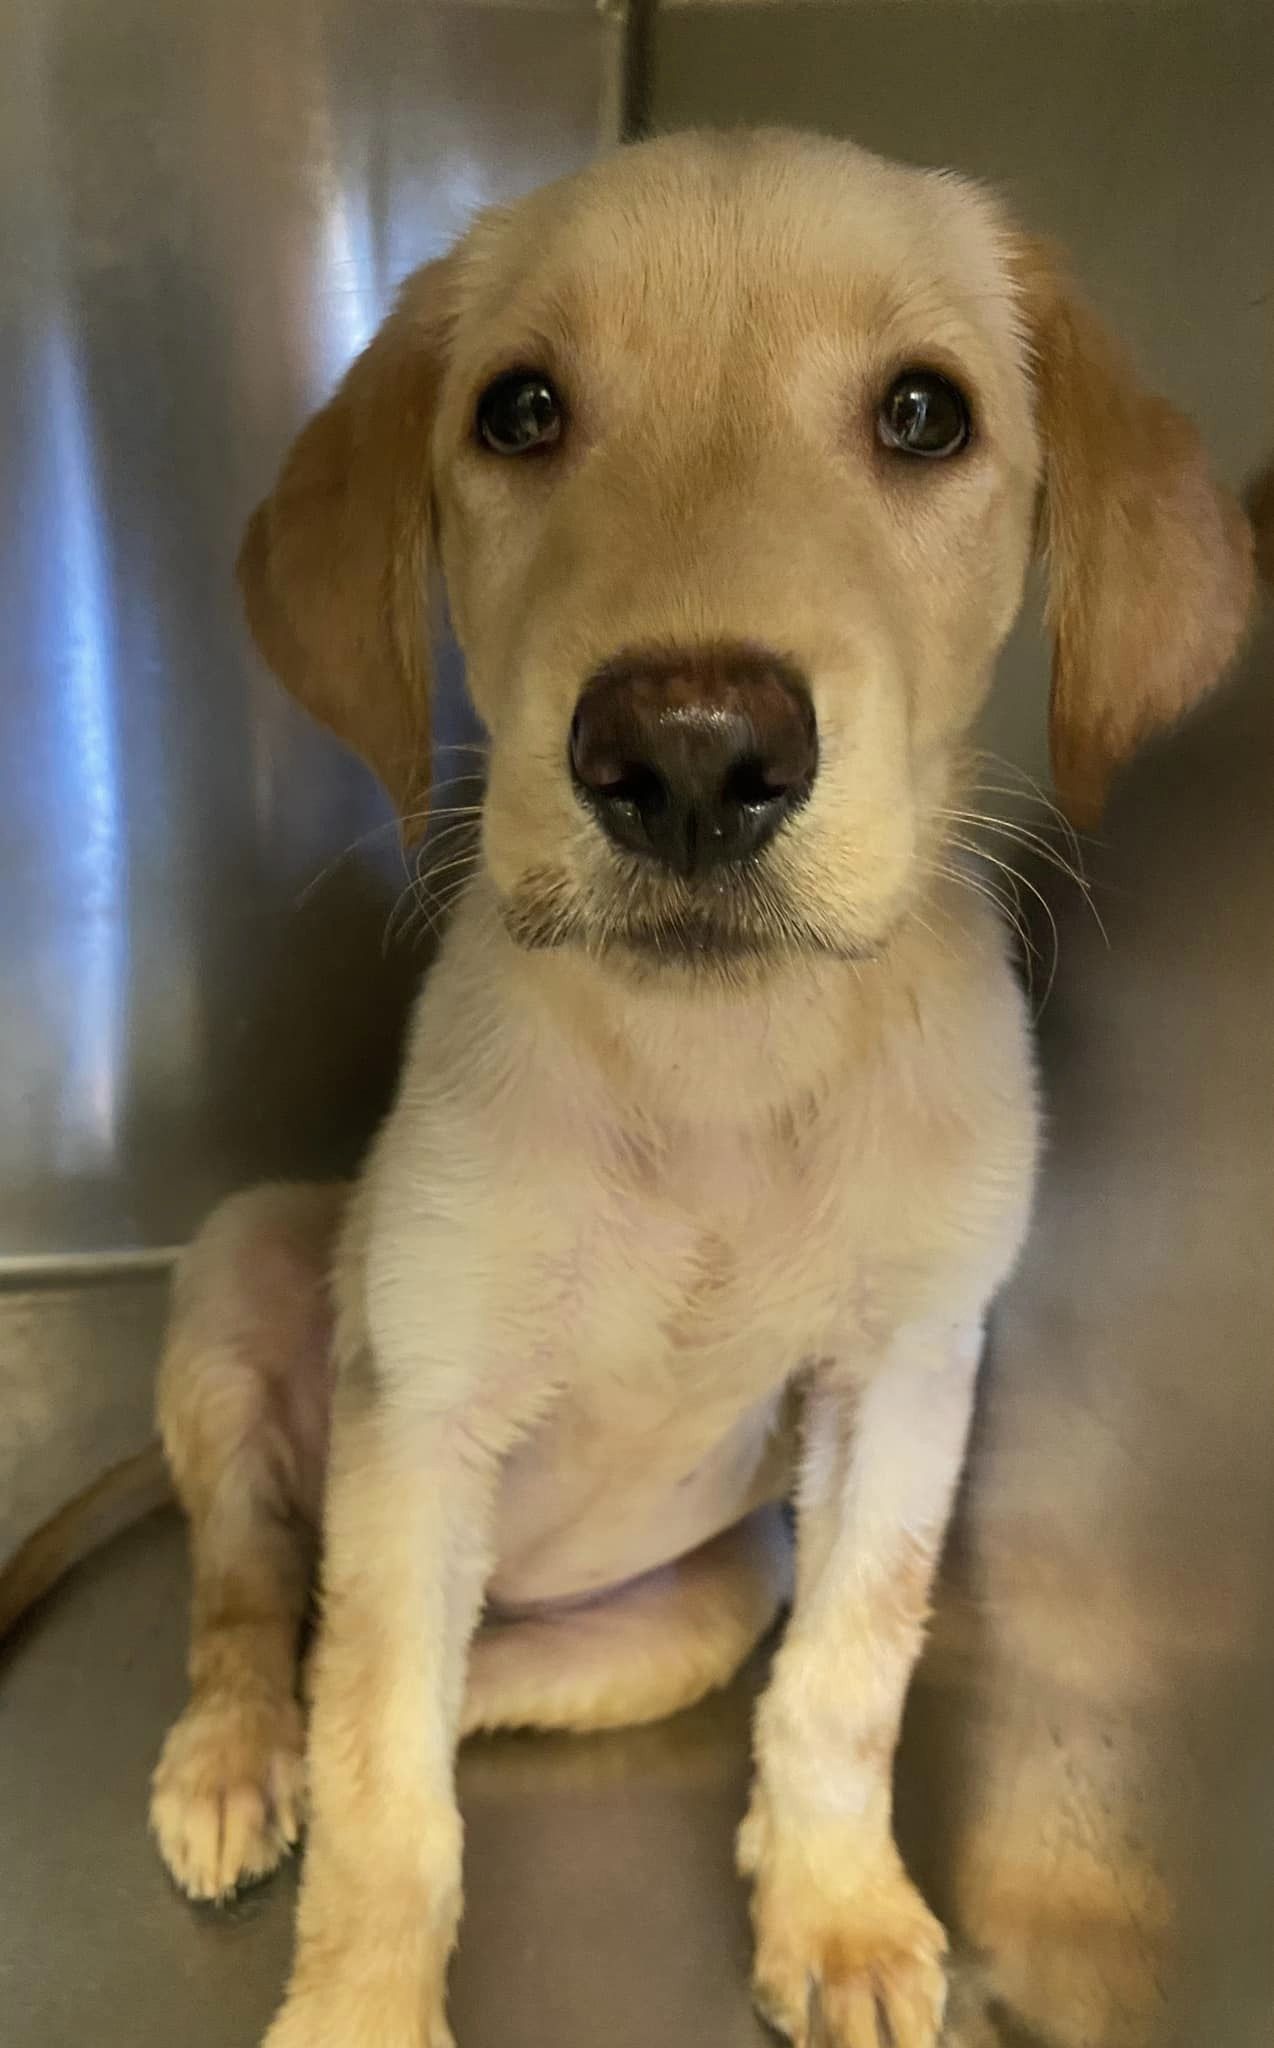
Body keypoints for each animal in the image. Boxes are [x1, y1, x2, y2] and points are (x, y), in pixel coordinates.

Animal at [144, 132, 1253, 2048]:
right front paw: (357, 2007)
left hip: (682, 1608)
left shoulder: (902, 1385)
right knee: (258, 1600)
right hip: (241, 1275)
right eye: (518, 410)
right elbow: (376, 1798)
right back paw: (230, 1755)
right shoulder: (419, 1416)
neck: (718, 1076)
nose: (684, 754)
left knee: (416, 1673)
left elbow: (846, 1675)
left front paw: (837, 1909)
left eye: (921, 414)